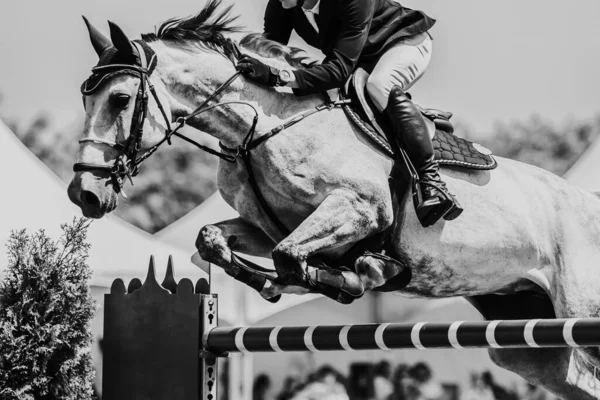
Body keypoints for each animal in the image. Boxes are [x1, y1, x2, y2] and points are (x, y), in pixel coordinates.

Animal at [69, 1, 600, 398]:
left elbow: (293, 257)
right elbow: (215, 241)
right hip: (524, 340)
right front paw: (280, 283)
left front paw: (349, 275)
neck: (261, 125)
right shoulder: (269, 227)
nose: (84, 194)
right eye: (85, 98)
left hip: (579, 311)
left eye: (120, 99)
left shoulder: (359, 209)